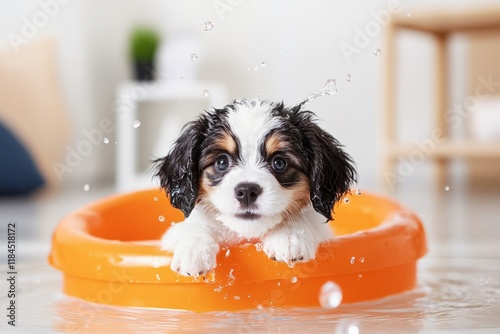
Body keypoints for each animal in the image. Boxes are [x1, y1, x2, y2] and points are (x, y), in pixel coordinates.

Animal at [155, 98, 356, 276]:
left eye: (279, 163)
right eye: (222, 162)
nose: (246, 191)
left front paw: (289, 234)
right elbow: (194, 226)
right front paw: (193, 248)